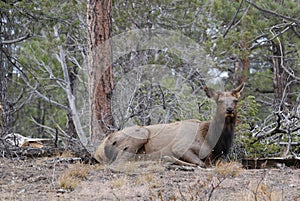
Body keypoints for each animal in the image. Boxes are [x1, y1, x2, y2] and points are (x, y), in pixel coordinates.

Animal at [95, 83, 245, 166]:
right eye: (219, 101)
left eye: (235, 100)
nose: (229, 109)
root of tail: (98, 151)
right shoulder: (180, 147)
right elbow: (201, 163)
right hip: (141, 134)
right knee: (119, 163)